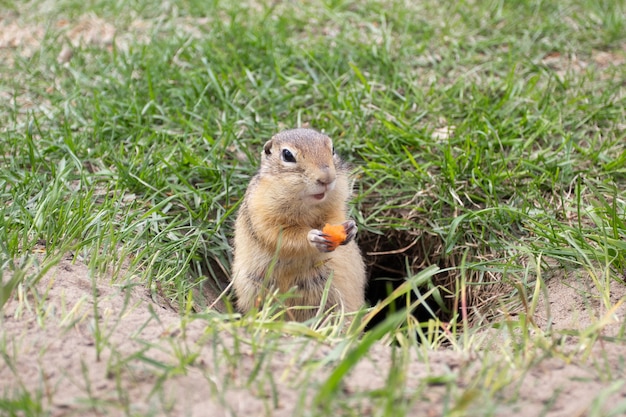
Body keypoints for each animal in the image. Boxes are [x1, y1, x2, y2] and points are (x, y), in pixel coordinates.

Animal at [230, 128, 366, 320]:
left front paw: (350, 228)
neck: (307, 205)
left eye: (332, 149)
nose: (327, 178)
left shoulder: (335, 206)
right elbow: (280, 235)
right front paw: (312, 237)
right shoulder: (263, 214)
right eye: (287, 155)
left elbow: (335, 217)